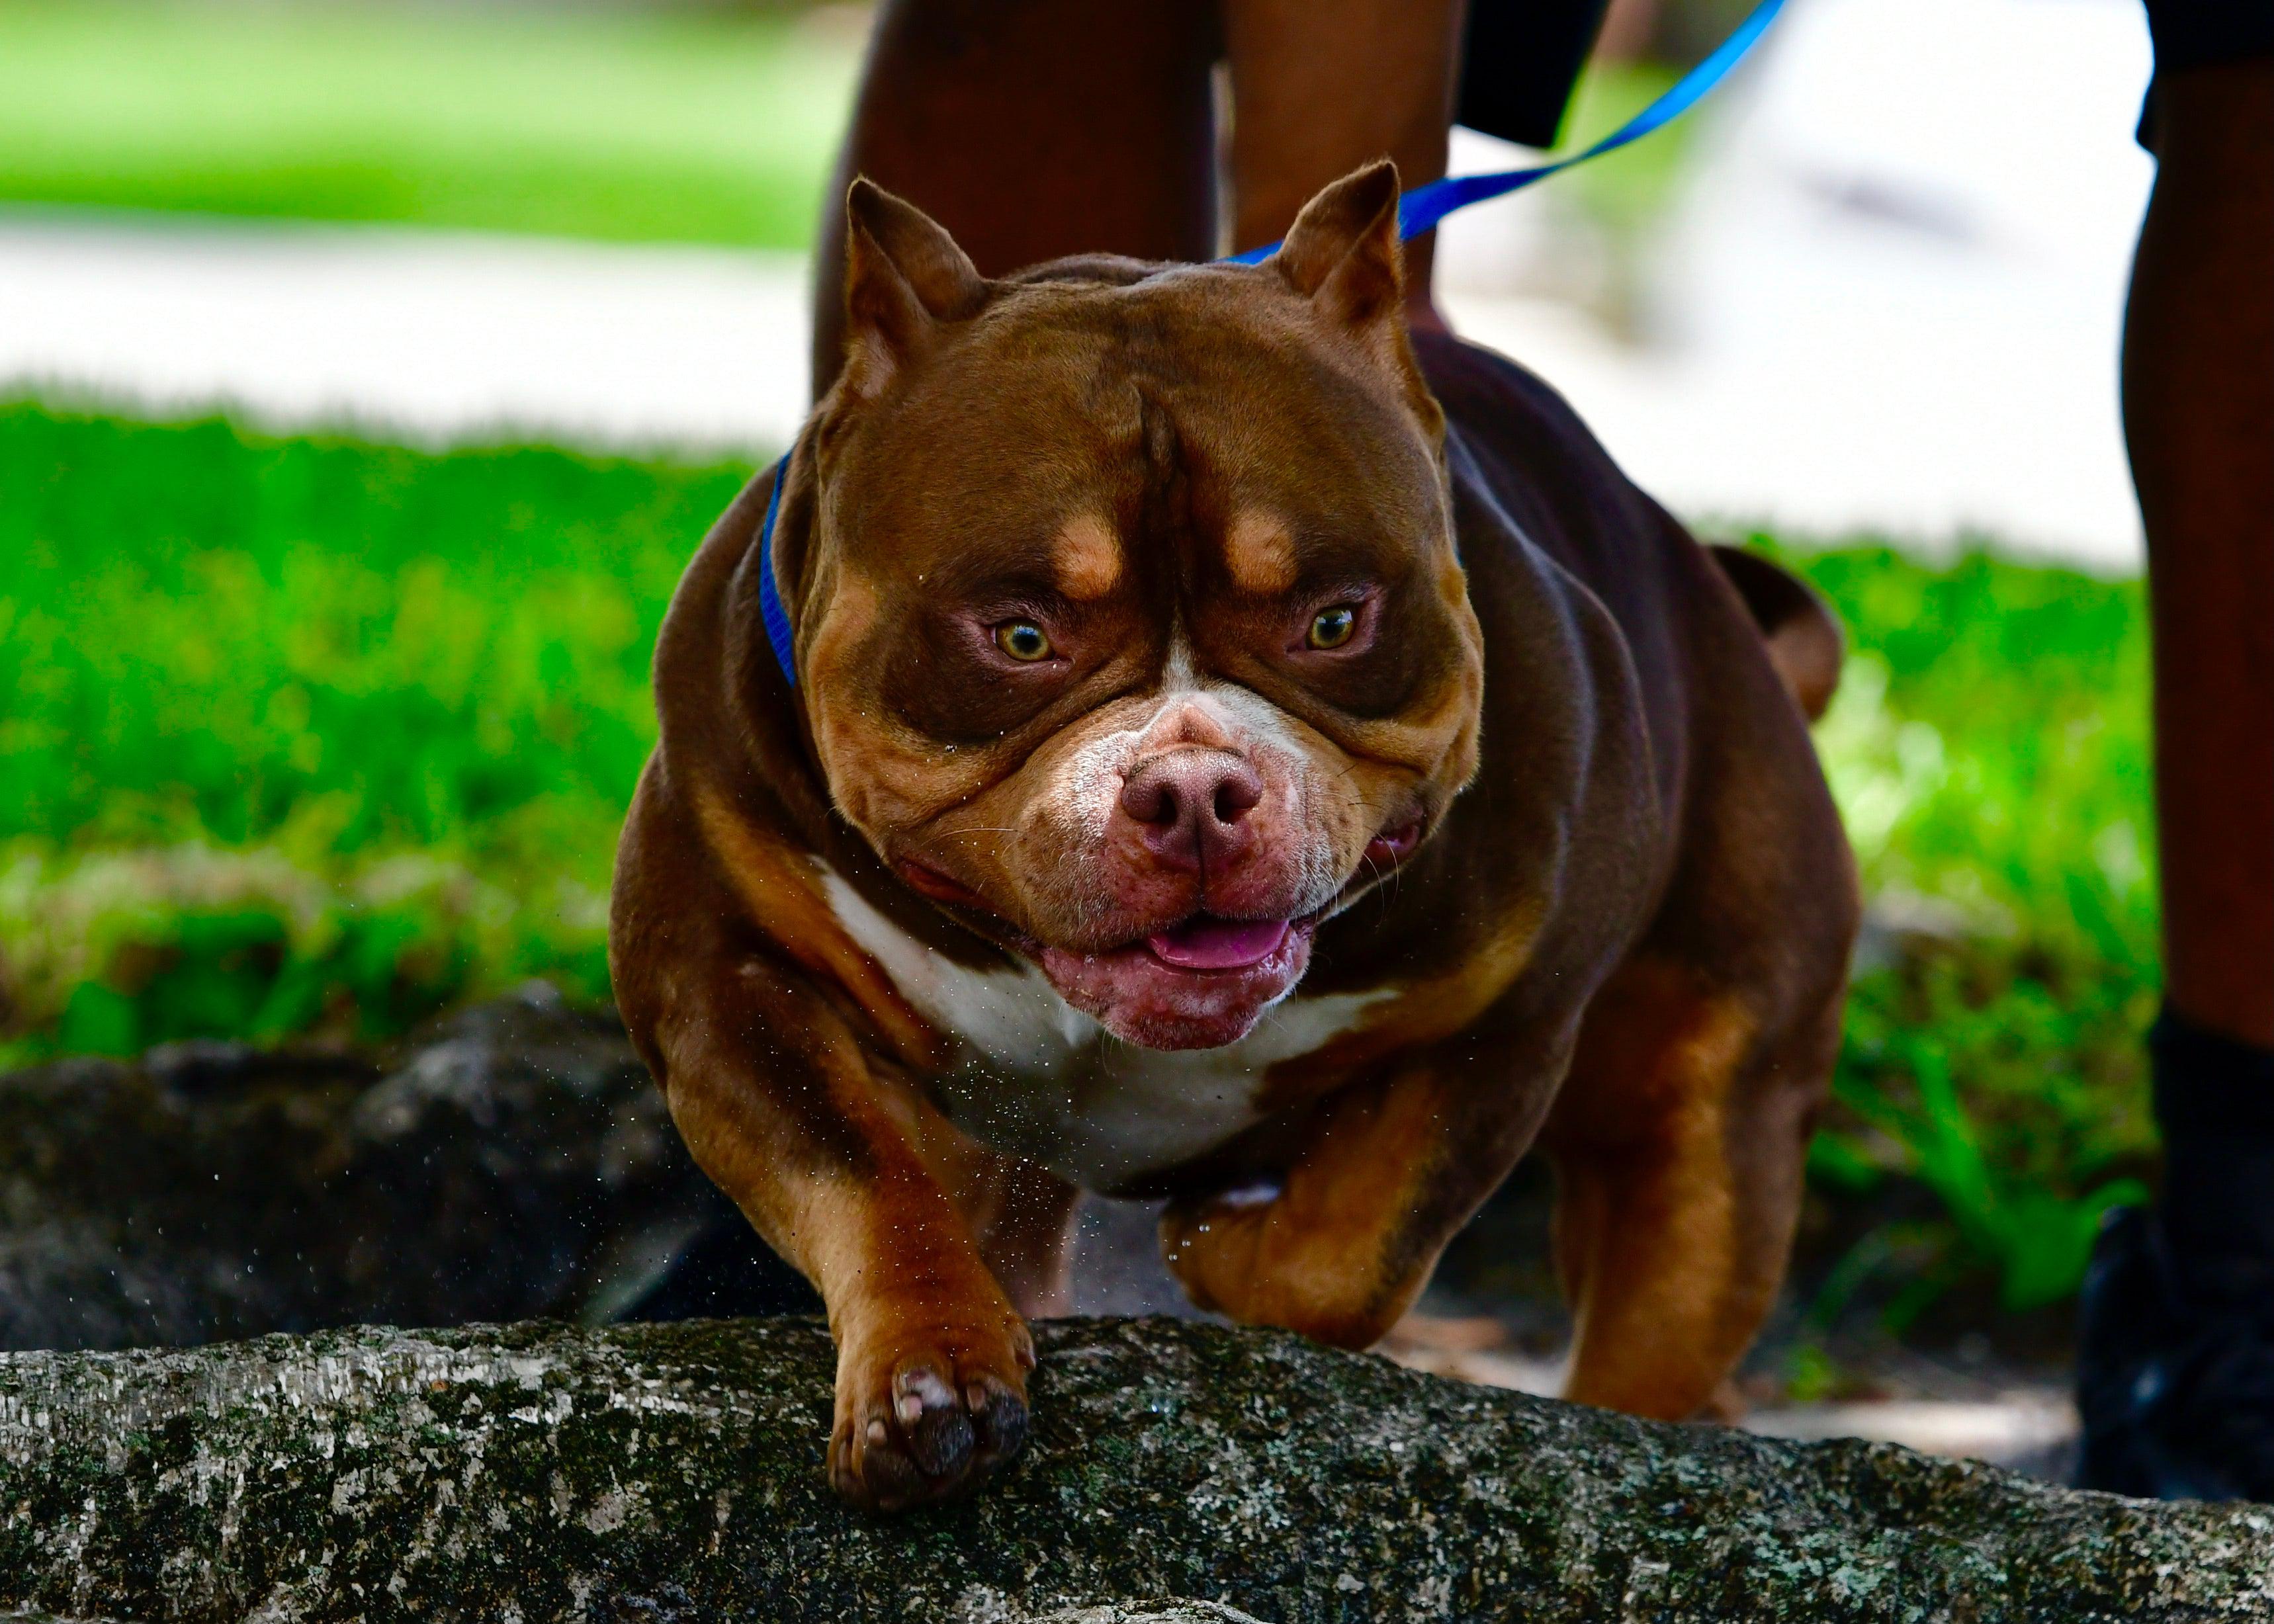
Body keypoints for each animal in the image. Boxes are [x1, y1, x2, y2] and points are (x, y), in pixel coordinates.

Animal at [613, 161, 1855, 1501]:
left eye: (1333, 622)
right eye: (1019, 635)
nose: (1195, 788)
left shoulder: (1508, 1020)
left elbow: (1347, 1253)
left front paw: (1216, 1248)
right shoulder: (719, 970)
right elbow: (866, 1170)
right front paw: (927, 1366)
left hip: (1714, 1120)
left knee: (1666, 1275)